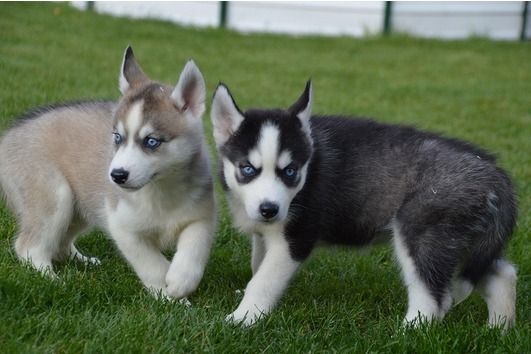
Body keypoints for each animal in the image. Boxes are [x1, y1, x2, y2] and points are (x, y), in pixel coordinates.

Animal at [0, 45, 216, 300]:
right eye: (118, 137)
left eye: (151, 141)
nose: (117, 176)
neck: (160, 190)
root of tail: (9, 135)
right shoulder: (122, 226)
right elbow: (152, 264)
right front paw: (169, 297)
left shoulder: (201, 217)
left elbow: (195, 249)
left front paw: (181, 281)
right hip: (55, 197)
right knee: (29, 246)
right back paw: (52, 279)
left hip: (81, 207)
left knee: (60, 243)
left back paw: (81, 261)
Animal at [213, 80, 520, 330]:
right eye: (247, 169)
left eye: (290, 171)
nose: (269, 210)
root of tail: (493, 171)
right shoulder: (265, 234)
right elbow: (258, 265)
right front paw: (247, 304)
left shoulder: (296, 238)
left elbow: (263, 279)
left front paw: (243, 318)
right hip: (465, 241)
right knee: (502, 274)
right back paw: (497, 330)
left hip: (421, 231)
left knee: (434, 299)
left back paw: (408, 332)